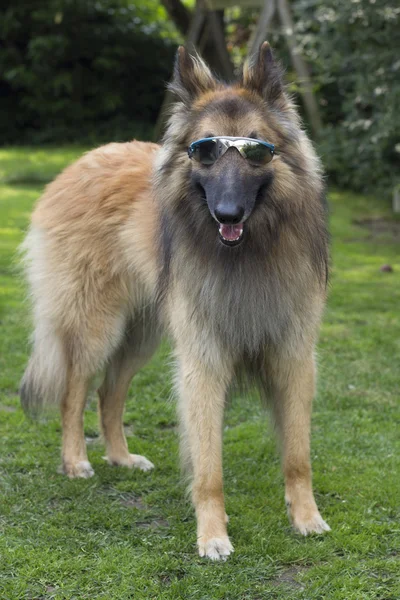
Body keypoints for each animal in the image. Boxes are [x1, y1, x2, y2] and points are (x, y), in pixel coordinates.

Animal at [20, 43, 330, 564]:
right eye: (205, 151)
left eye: (256, 150)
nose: (227, 214)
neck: (249, 254)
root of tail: (81, 162)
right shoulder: (202, 361)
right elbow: (208, 466)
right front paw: (212, 535)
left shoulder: (294, 356)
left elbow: (298, 455)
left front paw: (306, 518)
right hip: (98, 326)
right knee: (74, 391)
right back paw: (76, 461)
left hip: (141, 335)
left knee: (109, 392)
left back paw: (121, 457)